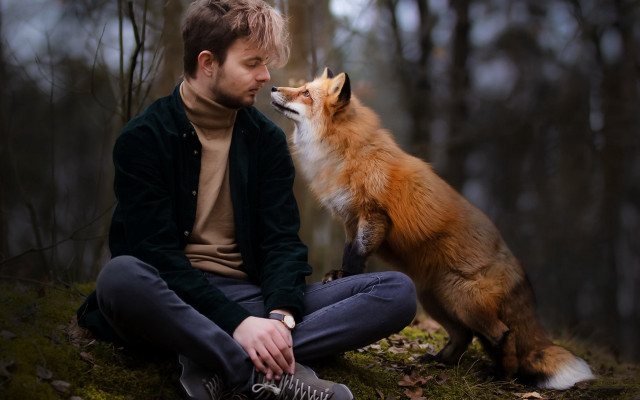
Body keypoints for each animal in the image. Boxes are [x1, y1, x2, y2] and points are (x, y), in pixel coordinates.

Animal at [270, 68, 595, 390]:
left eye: (306, 93)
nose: (273, 87)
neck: (348, 152)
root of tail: (513, 261)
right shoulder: (351, 220)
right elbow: (351, 252)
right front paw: (342, 275)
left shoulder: (373, 215)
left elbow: (357, 255)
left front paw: (345, 277)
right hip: (436, 299)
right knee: (465, 336)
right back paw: (440, 362)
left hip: (463, 301)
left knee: (503, 334)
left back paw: (501, 377)